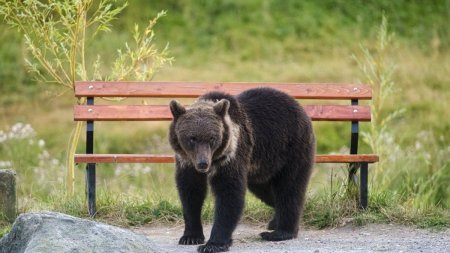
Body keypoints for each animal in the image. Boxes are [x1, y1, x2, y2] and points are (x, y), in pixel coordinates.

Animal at [170, 87, 316, 253]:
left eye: (212, 138)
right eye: (192, 138)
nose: (202, 164)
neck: (215, 160)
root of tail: (300, 107)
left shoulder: (232, 155)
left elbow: (229, 194)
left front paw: (213, 244)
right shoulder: (186, 162)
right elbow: (190, 192)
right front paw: (190, 236)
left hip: (292, 149)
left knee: (289, 188)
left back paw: (280, 232)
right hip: (261, 167)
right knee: (267, 192)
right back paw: (274, 221)